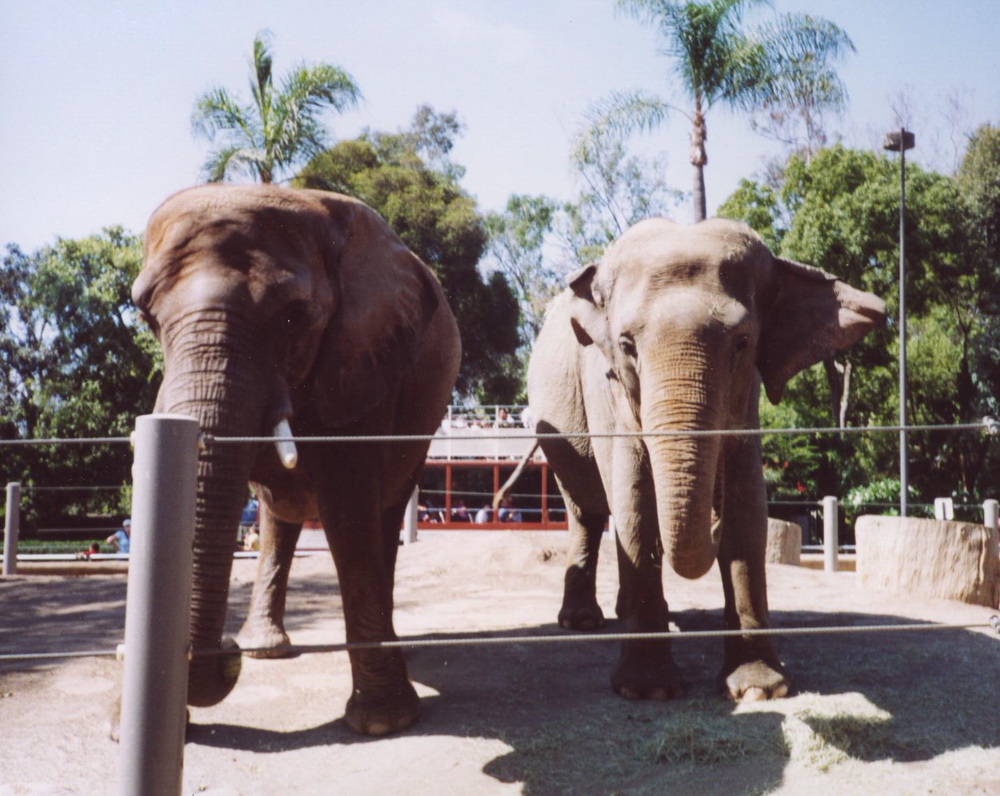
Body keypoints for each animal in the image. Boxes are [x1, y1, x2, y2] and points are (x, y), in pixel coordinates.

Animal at [128, 183, 461, 736]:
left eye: (293, 316)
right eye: (146, 316)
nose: (222, 653)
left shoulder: (363, 359)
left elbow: (348, 513)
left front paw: (383, 723)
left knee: (383, 517)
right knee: (278, 518)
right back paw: (265, 651)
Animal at [528, 217, 885, 701]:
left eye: (743, 342)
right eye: (626, 345)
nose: (711, 513)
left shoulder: (747, 402)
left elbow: (748, 509)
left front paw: (758, 690)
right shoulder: (609, 395)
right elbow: (634, 503)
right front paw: (648, 691)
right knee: (587, 509)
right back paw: (582, 621)